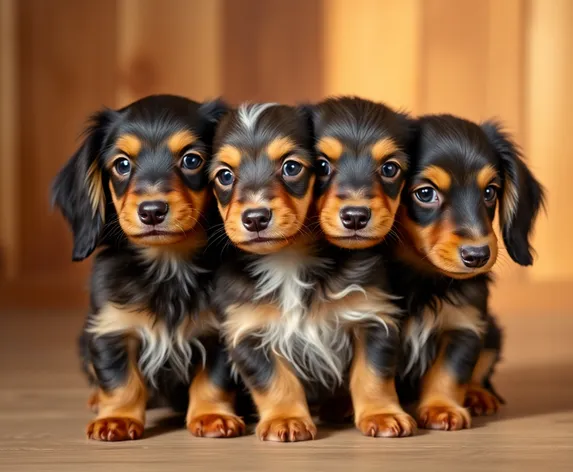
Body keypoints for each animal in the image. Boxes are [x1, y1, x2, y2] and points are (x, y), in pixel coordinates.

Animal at [50, 94, 244, 440]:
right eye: (122, 164)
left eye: (191, 160)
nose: (152, 211)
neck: (168, 265)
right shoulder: (111, 327)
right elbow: (119, 380)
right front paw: (117, 419)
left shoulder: (220, 332)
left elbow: (214, 379)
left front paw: (212, 415)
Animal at [308, 97, 416, 438]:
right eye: (321, 165)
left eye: (390, 168)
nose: (355, 216)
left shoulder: (374, 313)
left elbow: (372, 373)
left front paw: (382, 415)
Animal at [388, 113, 544, 428]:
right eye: (425, 193)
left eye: (490, 192)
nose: (477, 255)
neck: (424, 280)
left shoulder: (465, 325)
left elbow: (450, 372)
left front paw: (442, 408)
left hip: (493, 331)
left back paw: (478, 395)